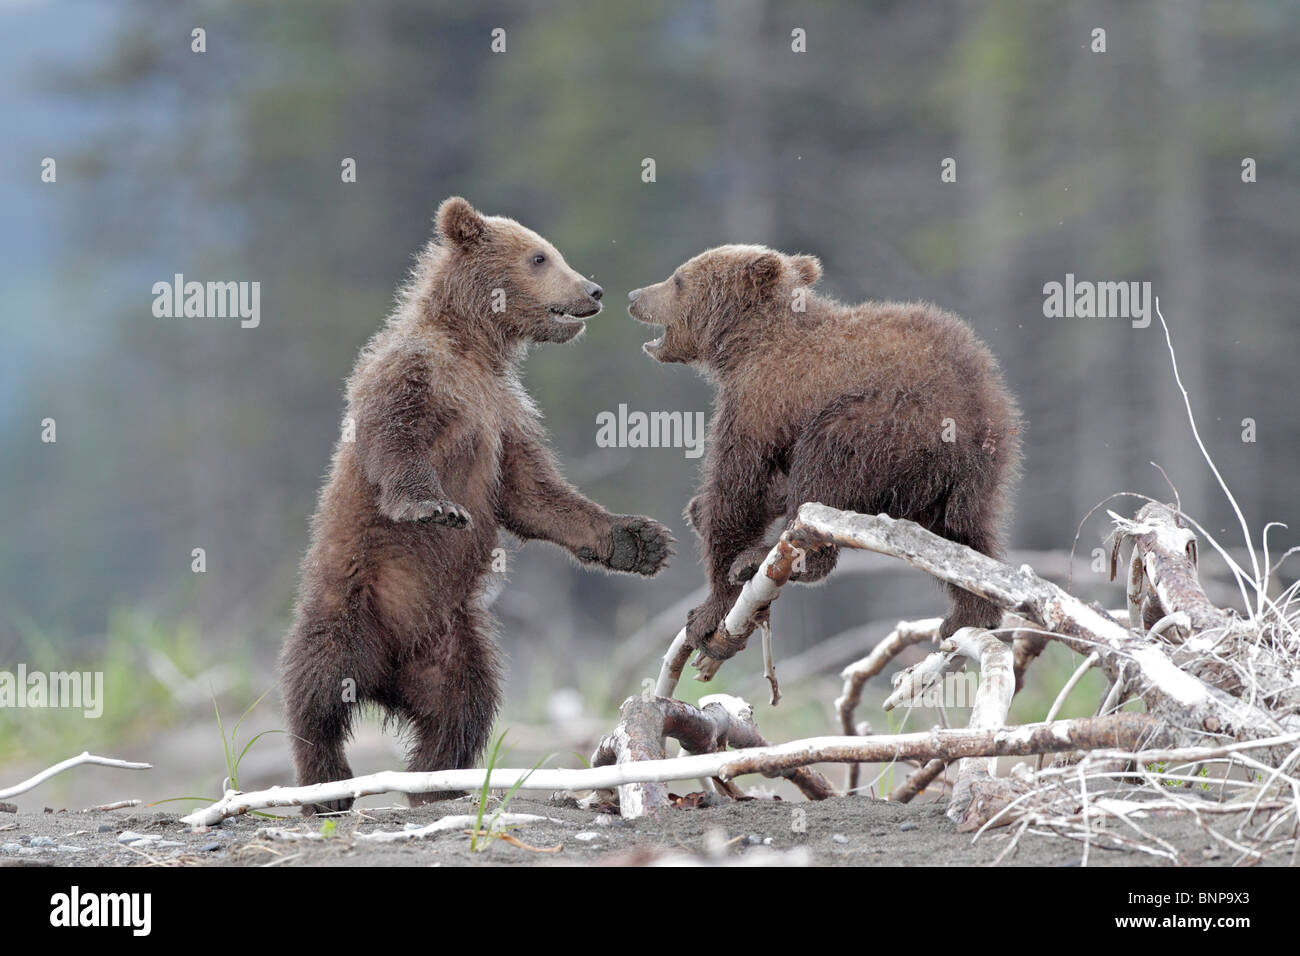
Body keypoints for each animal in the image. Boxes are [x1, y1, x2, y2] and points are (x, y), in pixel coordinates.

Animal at [280, 197, 673, 814]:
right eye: (539, 256)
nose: (593, 289)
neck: (475, 346)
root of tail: (386, 676)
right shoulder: (416, 379)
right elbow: (397, 442)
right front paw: (432, 508)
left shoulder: (504, 414)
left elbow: (532, 494)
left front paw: (637, 540)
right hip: (349, 604)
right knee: (317, 691)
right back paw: (326, 785)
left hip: (452, 639)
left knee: (463, 707)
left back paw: (435, 782)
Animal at [627, 244, 1020, 659]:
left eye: (678, 279)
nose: (634, 296)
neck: (744, 345)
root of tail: (976, 405)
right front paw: (698, 510)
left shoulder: (758, 398)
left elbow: (738, 487)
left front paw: (710, 607)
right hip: (976, 469)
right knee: (964, 533)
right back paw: (969, 614)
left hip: (879, 422)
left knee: (821, 473)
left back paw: (772, 559)